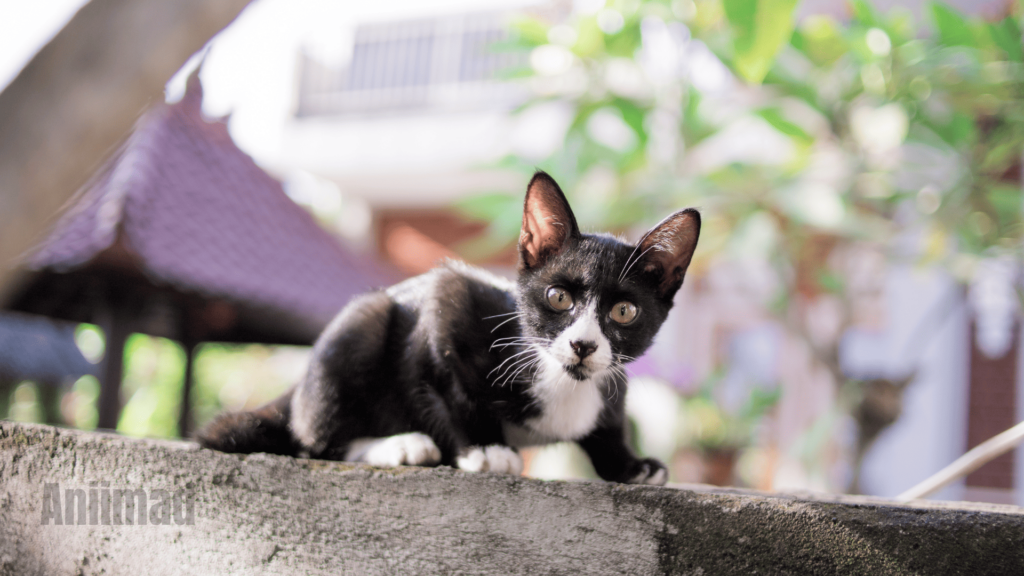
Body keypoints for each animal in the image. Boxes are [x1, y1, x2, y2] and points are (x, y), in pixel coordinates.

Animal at [195, 171, 700, 483]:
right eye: (558, 297)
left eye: (624, 312)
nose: (582, 345)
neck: (563, 381)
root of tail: (295, 392)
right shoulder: (446, 303)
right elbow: (447, 387)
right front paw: (484, 446)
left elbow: (608, 426)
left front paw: (631, 464)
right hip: (361, 325)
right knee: (314, 443)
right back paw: (401, 445)